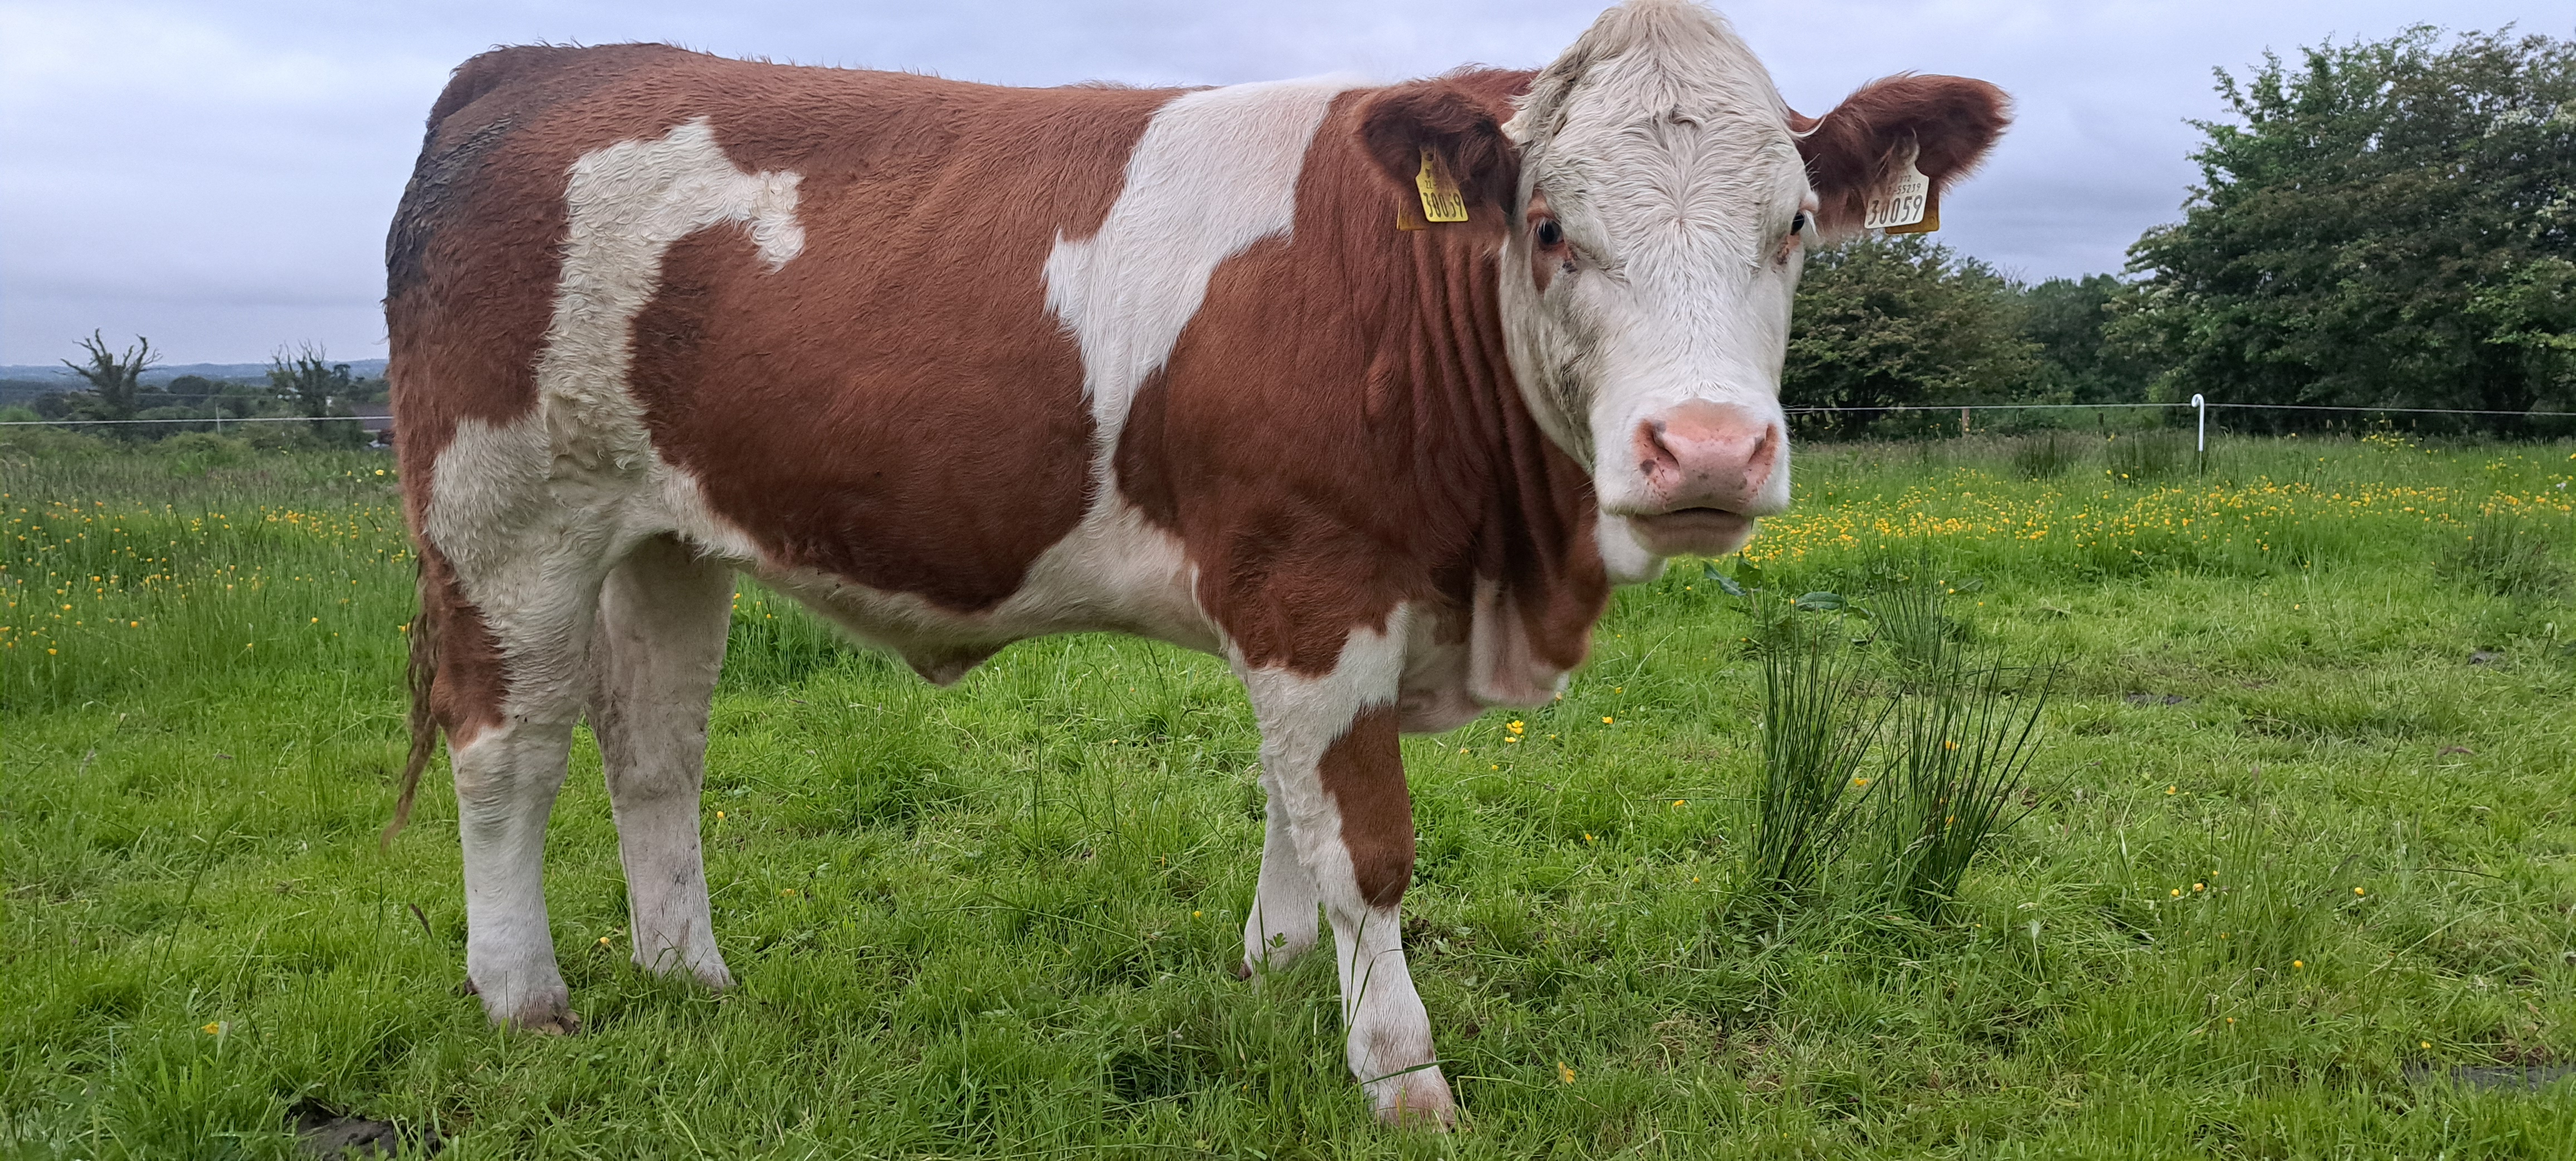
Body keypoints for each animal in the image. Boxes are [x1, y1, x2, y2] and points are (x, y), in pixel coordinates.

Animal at [383, 0, 2005, 1124]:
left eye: (1792, 227)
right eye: (1548, 225)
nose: (1706, 450)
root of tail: (530, 66)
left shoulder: (1324, 606)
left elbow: (1295, 803)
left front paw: (1276, 975)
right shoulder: (1310, 577)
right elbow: (1365, 839)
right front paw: (1401, 1071)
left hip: (665, 536)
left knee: (654, 747)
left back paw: (691, 975)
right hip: (504, 517)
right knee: (507, 748)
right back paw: (524, 994)